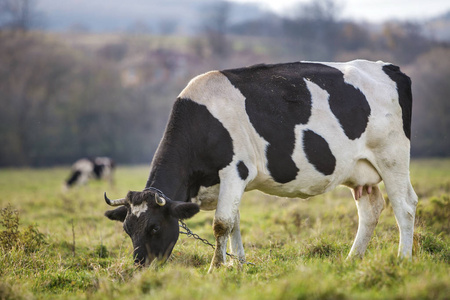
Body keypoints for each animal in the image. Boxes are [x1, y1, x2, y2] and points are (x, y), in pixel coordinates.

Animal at [103, 59, 418, 272]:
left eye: (155, 227)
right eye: (128, 229)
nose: (140, 266)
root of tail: (388, 67)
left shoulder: (235, 170)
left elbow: (221, 223)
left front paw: (215, 268)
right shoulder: (227, 183)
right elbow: (235, 223)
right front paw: (239, 265)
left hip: (392, 157)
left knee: (405, 205)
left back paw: (402, 259)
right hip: (360, 172)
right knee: (371, 209)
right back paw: (353, 258)